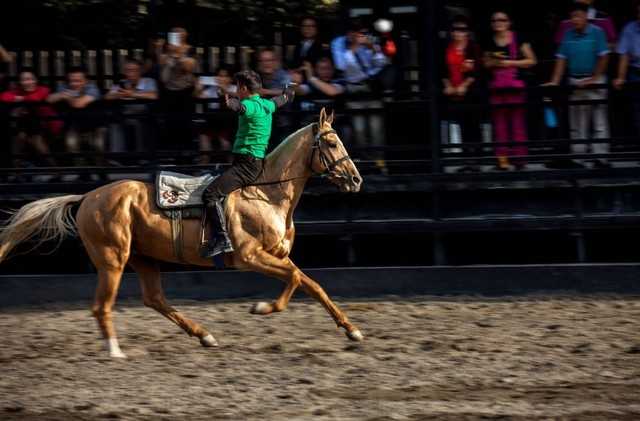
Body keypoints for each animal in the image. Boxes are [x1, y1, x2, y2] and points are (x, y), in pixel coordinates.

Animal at [0, 106, 362, 356]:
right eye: (331, 142)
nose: (356, 179)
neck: (264, 193)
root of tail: (88, 196)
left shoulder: (276, 256)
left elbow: (312, 285)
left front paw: (352, 330)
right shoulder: (250, 257)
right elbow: (298, 280)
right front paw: (262, 308)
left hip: (143, 258)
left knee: (155, 299)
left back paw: (205, 335)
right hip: (112, 260)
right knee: (102, 306)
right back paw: (116, 351)